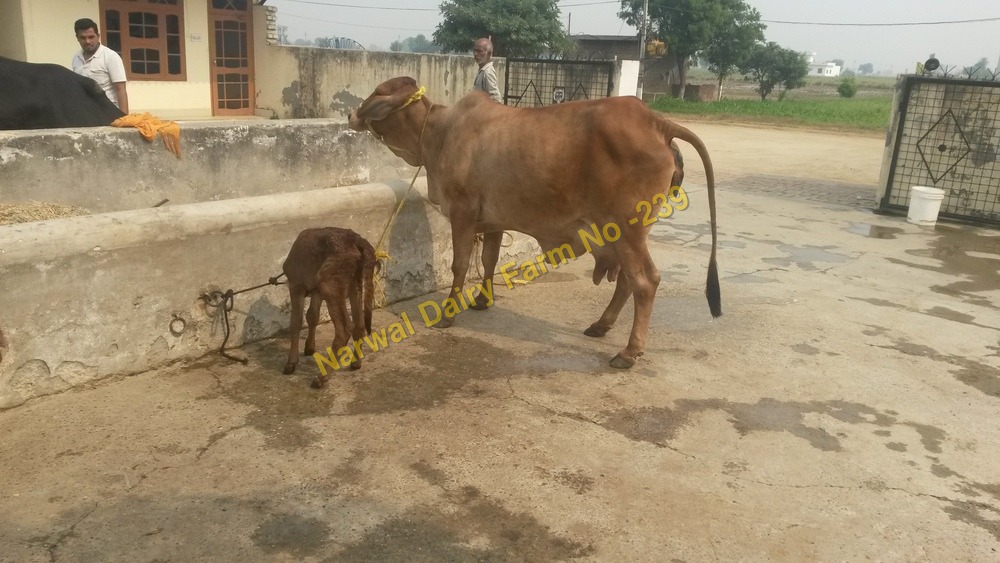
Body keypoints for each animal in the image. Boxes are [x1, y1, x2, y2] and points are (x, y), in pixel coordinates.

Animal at [282, 227, 378, 390]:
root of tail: (357, 240)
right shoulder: (316, 291)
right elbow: (312, 316)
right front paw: (309, 347)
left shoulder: (296, 285)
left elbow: (296, 322)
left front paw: (291, 363)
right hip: (353, 285)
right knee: (359, 324)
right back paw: (356, 362)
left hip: (330, 285)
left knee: (344, 330)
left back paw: (322, 377)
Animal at [352, 78, 720, 370]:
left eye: (378, 91)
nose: (352, 114)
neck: (438, 134)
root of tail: (657, 122)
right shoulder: (493, 221)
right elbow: (488, 260)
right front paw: (482, 300)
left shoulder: (463, 213)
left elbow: (460, 265)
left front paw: (447, 315)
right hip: (619, 233)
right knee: (628, 280)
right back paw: (601, 325)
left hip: (628, 229)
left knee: (646, 281)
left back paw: (628, 352)